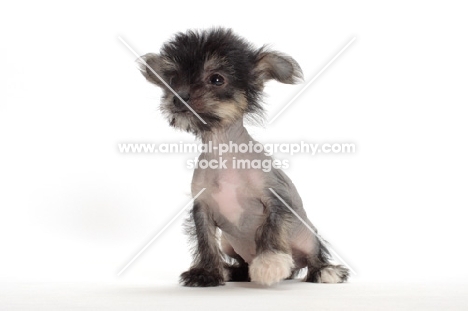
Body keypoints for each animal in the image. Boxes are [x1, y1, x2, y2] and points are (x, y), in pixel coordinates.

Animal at [137, 28, 350, 286]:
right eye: (173, 79)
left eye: (217, 79)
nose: (178, 97)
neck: (222, 151)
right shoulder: (202, 209)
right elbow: (205, 240)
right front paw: (207, 272)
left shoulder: (277, 199)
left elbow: (271, 229)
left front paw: (269, 263)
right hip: (229, 244)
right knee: (242, 262)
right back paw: (232, 271)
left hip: (308, 238)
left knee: (314, 255)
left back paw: (326, 271)